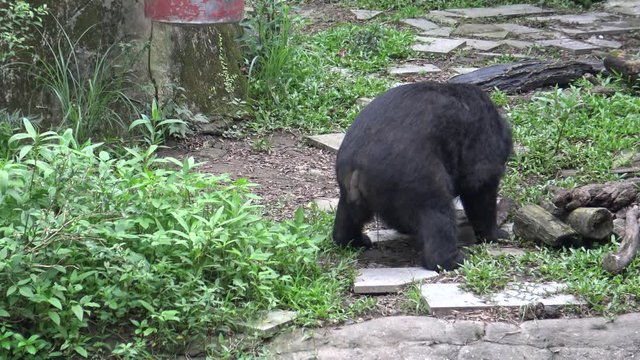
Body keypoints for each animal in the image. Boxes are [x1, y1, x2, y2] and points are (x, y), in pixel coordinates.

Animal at [332, 81, 512, 270]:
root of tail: (357, 166)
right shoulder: (481, 143)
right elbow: (480, 187)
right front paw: (498, 234)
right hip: (416, 175)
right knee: (437, 211)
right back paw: (455, 259)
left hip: (350, 189)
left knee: (348, 215)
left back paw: (355, 240)